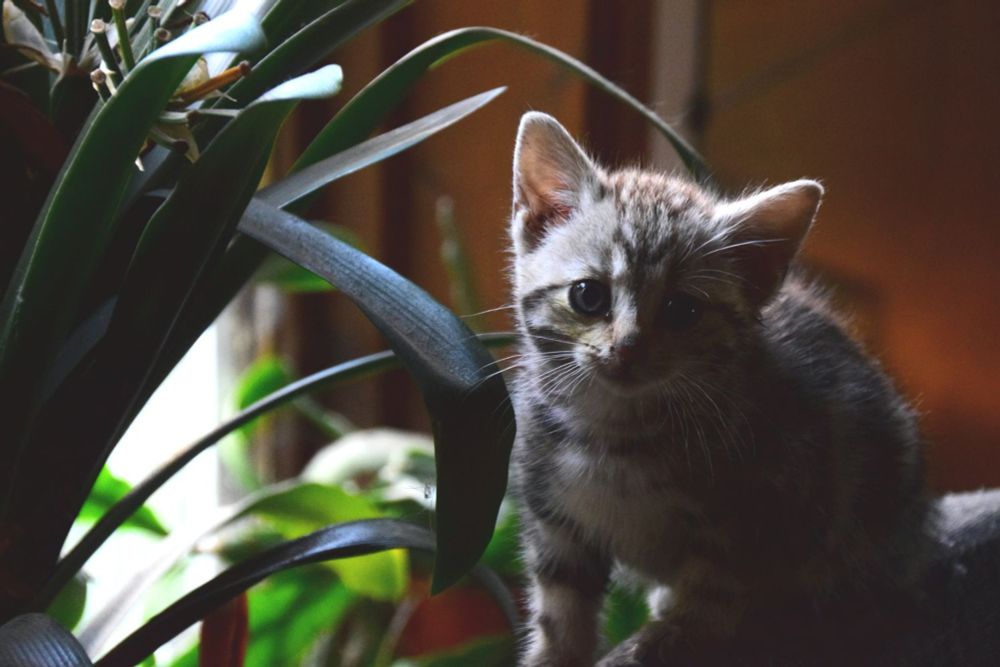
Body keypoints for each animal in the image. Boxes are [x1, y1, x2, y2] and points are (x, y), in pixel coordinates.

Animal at [508, 112, 928, 664]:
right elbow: (560, 615)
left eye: (682, 310)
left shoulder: (765, 511)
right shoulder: (555, 523)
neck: (615, 433)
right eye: (587, 296)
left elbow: (709, 602)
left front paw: (657, 642)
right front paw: (555, 652)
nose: (627, 349)